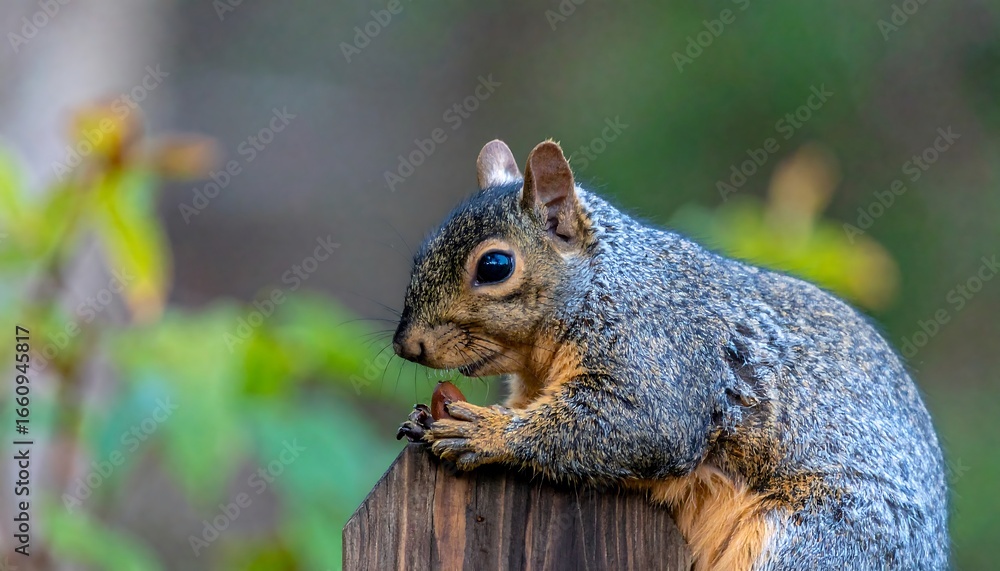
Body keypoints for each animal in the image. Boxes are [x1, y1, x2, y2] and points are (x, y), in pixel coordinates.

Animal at [392, 139, 949, 570]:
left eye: (495, 266)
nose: (405, 345)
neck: (599, 285)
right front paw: (426, 418)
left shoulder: (661, 349)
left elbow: (644, 423)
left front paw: (484, 432)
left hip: (823, 541)